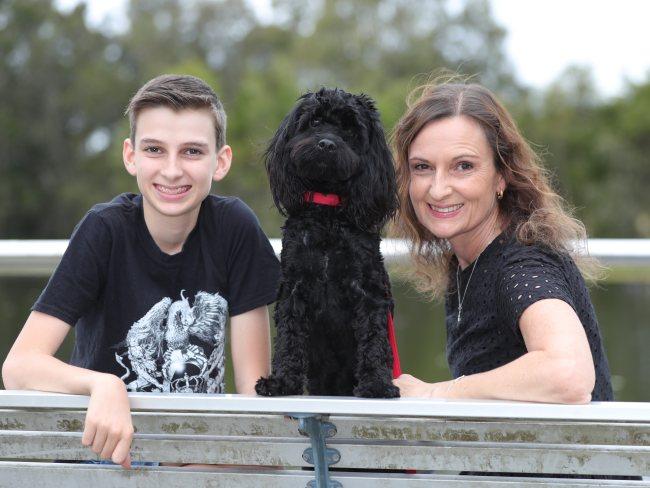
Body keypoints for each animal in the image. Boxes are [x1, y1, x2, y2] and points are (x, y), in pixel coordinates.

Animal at [254, 87, 400, 398]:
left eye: (351, 129)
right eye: (315, 121)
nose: (326, 144)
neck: (327, 212)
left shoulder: (369, 290)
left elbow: (373, 340)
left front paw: (377, 384)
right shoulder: (293, 287)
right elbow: (290, 339)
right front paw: (282, 382)